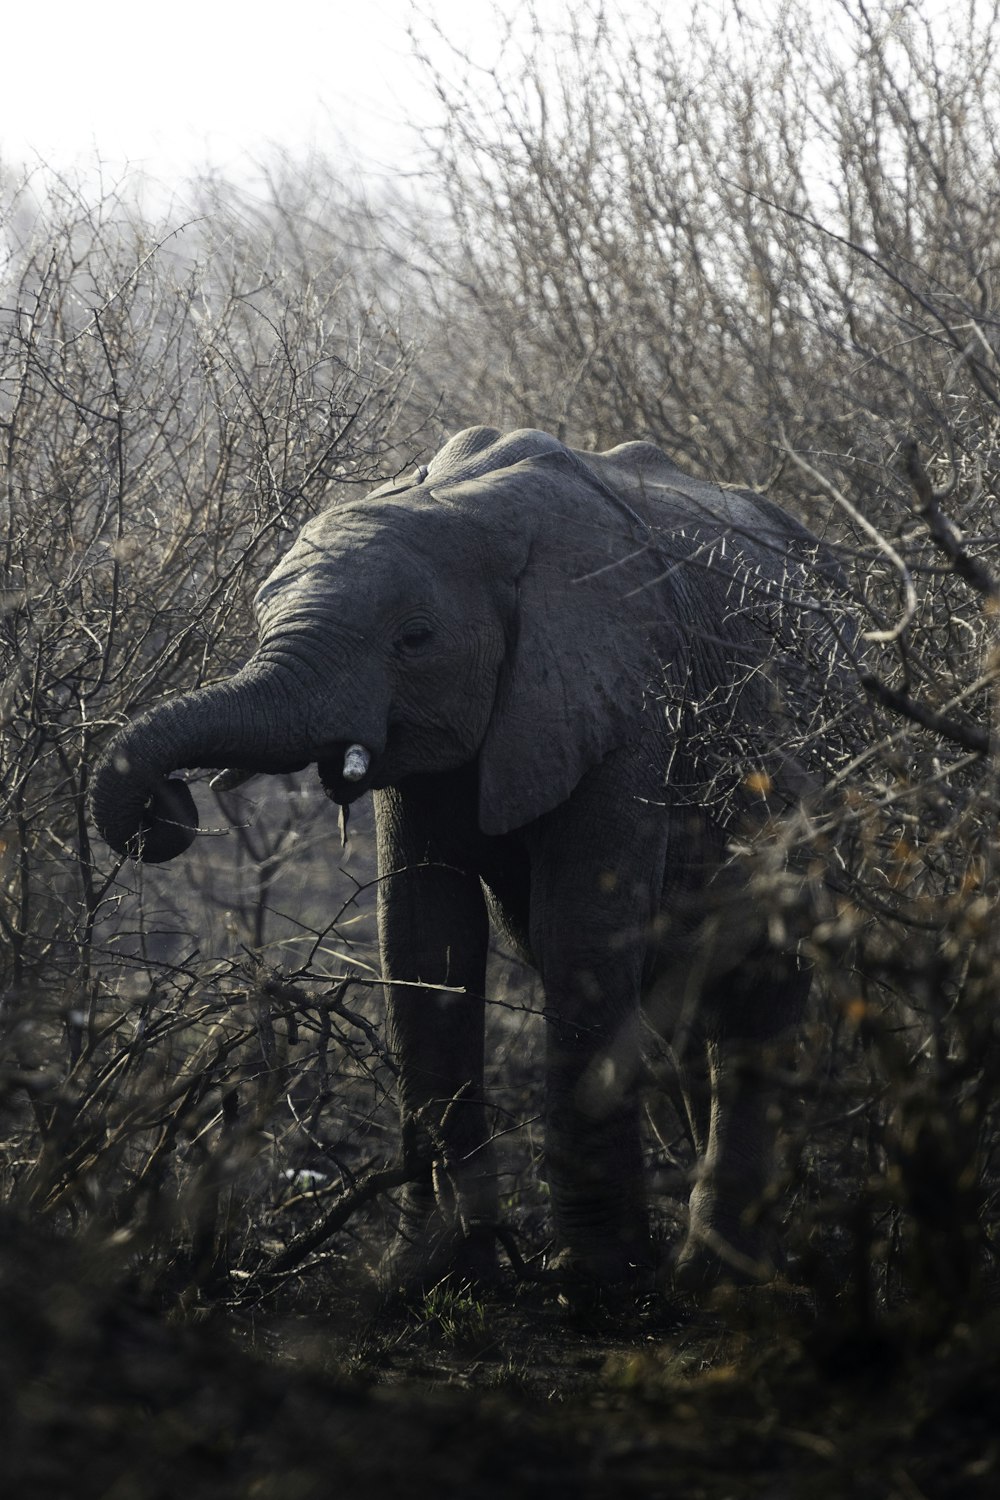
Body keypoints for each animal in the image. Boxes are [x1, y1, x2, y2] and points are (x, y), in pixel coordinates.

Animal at [89, 423, 863, 1290]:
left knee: (760, 980)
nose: (167, 806)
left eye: (414, 639)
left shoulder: (626, 698)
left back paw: (720, 1271)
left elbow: (581, 939)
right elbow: (425, 937)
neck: (462, 509)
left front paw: (599, 1281)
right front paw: (432, 1276)